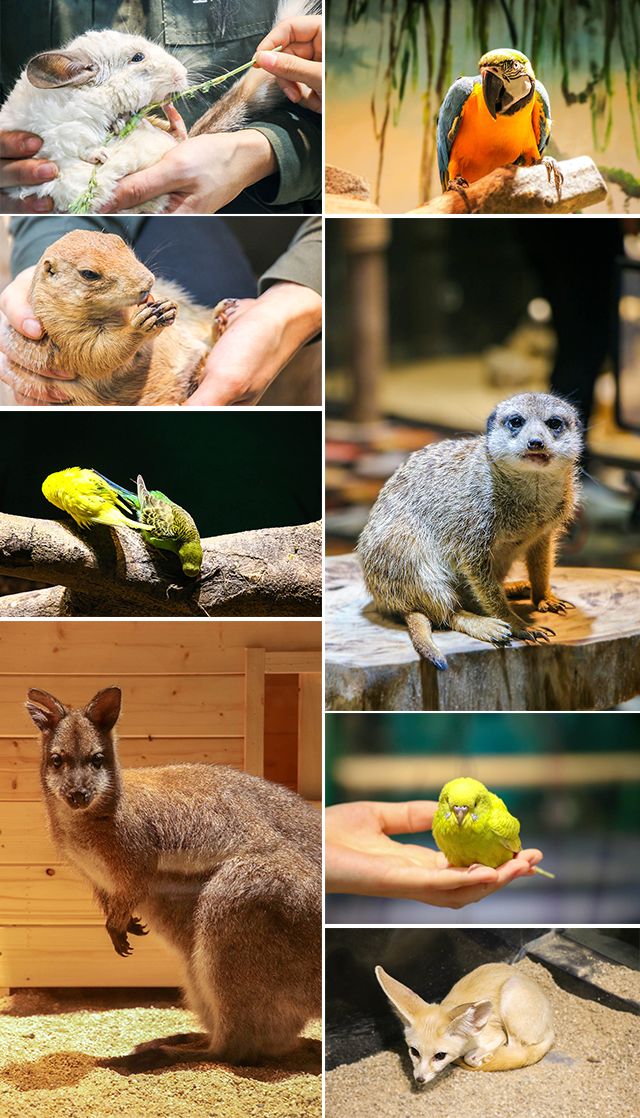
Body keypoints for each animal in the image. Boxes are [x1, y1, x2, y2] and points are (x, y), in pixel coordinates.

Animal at [27, 684, 322, 1068]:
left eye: (97, 759)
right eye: (57, 760)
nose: (78, 795)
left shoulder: (137, 857)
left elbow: (134, 885)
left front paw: (118, 927)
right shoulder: (95, 877)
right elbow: (110, 899)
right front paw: (128, 925)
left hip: (239, 902)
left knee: (237, 1050)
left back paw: (156, 1055)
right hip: (202, 964)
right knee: (267, 1042)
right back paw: (177, 1041)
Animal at [378, 961, 552, 1082]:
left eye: (440, 1056)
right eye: (414, 1052)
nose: (419, 1080)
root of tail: (552, 1028)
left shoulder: (496, 1035)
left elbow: (472, 1057)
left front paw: (481, 1058)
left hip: (510, 992)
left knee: (516, 1049)